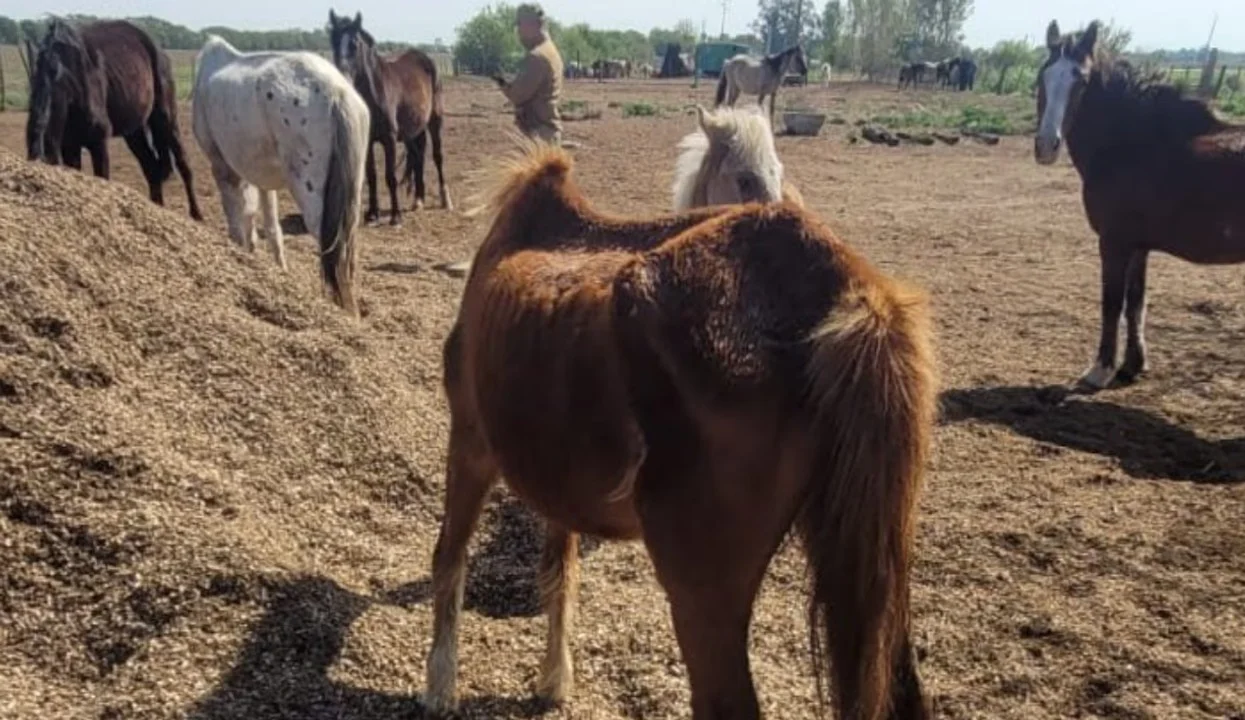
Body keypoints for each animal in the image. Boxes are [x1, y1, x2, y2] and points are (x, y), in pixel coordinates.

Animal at [25, 18, 202, 221]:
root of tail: (156, 47)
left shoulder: (98, 141)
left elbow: (103, 178)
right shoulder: (69, 145)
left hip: (165, 117)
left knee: (183, 162)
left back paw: (197, 215)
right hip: (134, 132)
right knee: (152, 169)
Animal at [191, 34, 369, 316]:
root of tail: (336, 92)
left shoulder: (223, 169)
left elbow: (237, 224)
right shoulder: (261, 178)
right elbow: (271, 229)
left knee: (335, 252)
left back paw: (345, 315)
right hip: (351, 198)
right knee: (348, 251)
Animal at [328, 10, 452, 225]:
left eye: (354, 44)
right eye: (334, 42)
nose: (342, 80)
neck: (375, 92)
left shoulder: (390, 139)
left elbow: (390, 176)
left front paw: (396, 216)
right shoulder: (369, 141)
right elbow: (371, 175)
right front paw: (372, 214)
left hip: (435, 121)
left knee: (438, 156)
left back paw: (445, 199)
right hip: (414, 130)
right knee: (418, 156)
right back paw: (418, 199)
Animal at [422, 138, 937, 720]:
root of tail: (840, 292)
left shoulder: (470, 443)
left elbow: (450, 558)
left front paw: (439, 687)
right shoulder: (558, 480)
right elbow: (560, 572)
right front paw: (553, 681)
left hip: (701, 589)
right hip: (876, 574)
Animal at [1035, 19, 1245, 390]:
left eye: (1081, 80)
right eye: (1043, 76)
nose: (1046, 144)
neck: (1134, 143)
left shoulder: (1115, 242)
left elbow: (1112, 303)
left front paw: (1099, 370)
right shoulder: (1140, 245)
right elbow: (1136, 302)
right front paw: (1132, 365)